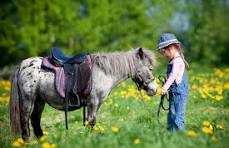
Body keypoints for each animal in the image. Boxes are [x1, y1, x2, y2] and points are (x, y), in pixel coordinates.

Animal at [9, 47, 157, 141]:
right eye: (150, 68)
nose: (154, 90)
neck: (103, 72)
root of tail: (23, 64)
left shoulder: (96, 104)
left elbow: (90, 122)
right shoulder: (93, 102)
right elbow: (91, 122)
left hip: (39, 101)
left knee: (35, 121)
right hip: (28, 100)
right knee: (25, 121)